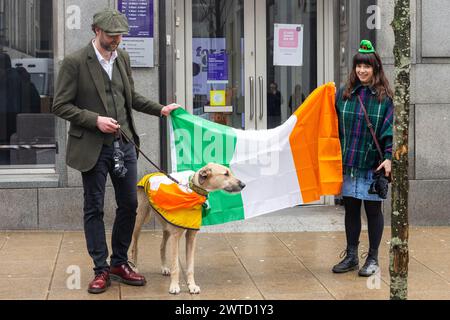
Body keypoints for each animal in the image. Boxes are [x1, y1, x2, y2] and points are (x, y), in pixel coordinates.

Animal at [130, 164, 244, 294]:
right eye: (226, 174)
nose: (243, 184)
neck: (193, 191)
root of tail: (149, 175)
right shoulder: (175, 237)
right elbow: (176, 266)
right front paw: (174, 286)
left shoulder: (191, 237)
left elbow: (190, 266)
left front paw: (192, 286)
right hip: (139, 220)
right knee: (135, 246)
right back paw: (134, 267)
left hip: (166, 225)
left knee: (162, 246)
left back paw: (164, 267)